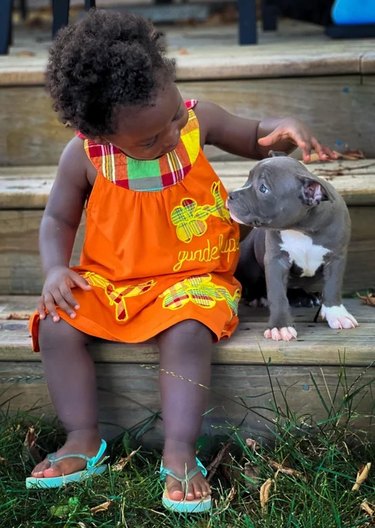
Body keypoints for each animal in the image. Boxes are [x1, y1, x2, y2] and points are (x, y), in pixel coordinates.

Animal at [228, 154, 360, 342]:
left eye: (263, 188)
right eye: (248, 178)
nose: (231, 195)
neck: (300, 228)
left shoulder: (336, 257)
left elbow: (333, 286)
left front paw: (337, 314)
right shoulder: (276, 260)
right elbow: (277, 295)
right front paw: (280, 326)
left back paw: (306, 297)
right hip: (248, 260)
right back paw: (260, 297)